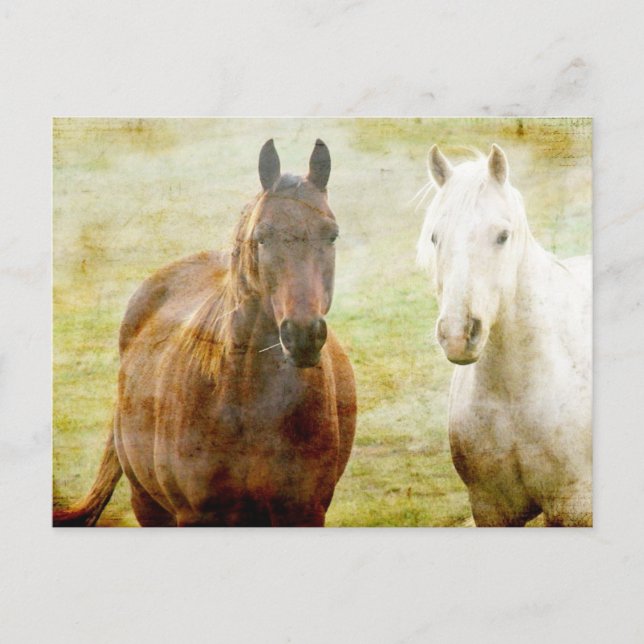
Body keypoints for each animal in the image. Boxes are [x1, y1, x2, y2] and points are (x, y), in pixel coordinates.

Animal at [54, 139, 357, 527]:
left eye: (331, 235)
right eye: (262, 237)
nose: (303, 335)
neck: (245, 402)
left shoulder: (303, 512)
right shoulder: (197, 514)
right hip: (147, 504)